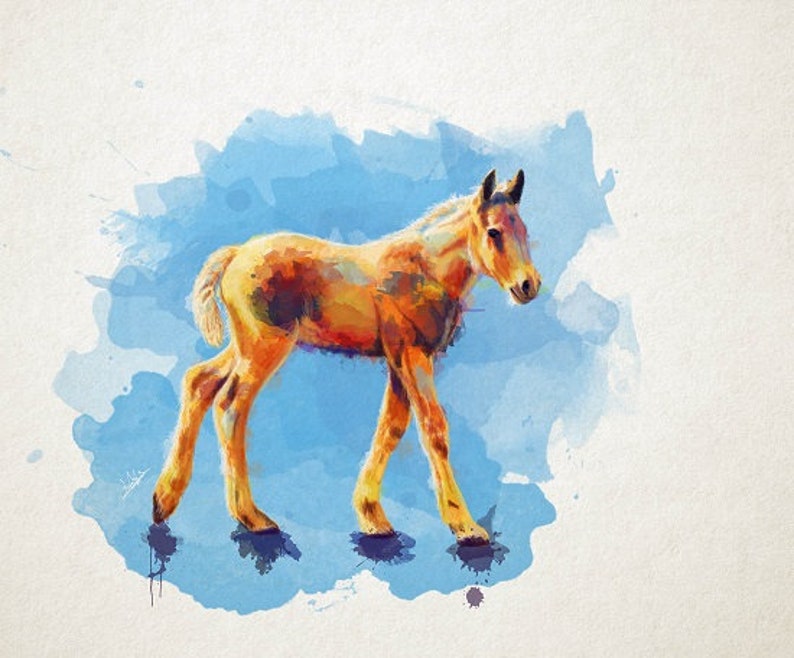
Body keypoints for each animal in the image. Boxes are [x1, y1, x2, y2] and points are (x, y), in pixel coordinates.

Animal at [152, 168, 541, 545]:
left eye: (523, 229)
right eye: (493, 232)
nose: (528, 286)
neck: (425, 267)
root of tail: (236, 253)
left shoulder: (397, 361)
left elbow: (391, 428)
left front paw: (372, 517)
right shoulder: (412, 355)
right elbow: (434, 430)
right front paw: (465, 527)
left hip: (245, 345)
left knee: (199, 381)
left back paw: (164, 500)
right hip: (265, 347)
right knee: (230, 406)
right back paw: (251, 517)